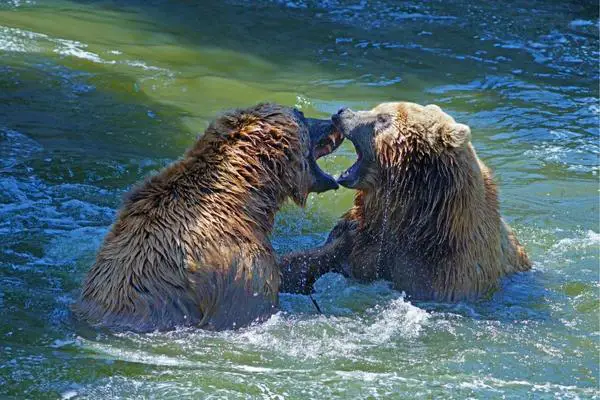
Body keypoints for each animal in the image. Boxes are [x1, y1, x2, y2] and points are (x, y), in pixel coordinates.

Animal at [280, 101, 528, 302]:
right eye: (377, 109)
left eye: (383, 118)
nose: (342, 112)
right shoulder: (362, 236)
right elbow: (312, 260)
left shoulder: (443, 271)